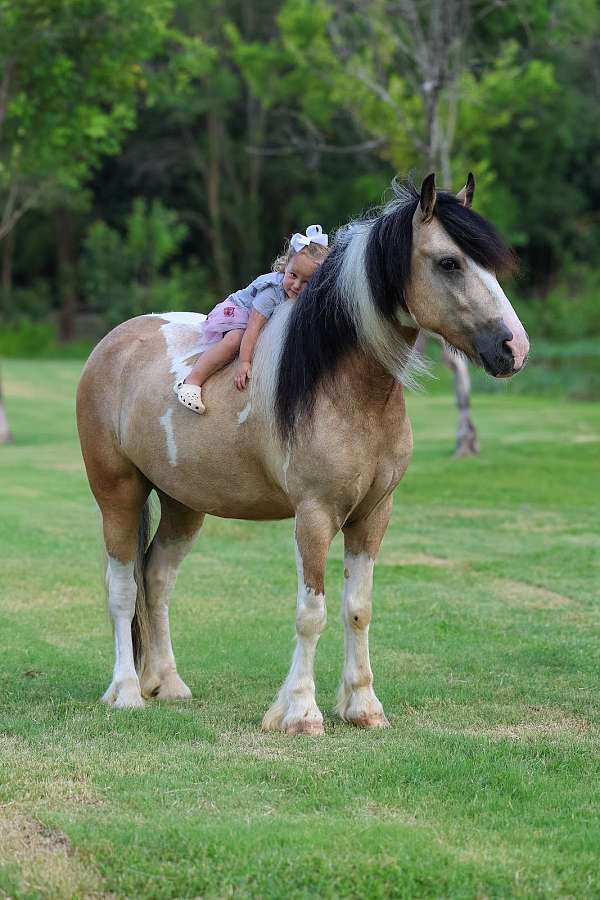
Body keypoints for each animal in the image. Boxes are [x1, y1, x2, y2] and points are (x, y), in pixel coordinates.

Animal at [76, 173, 529, 735]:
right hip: (117, 493)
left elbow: (358, 608)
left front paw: (363, 707)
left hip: (184, 503)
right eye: (449, 262)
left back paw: (168, 684)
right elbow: (311, 614)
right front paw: (299, 712)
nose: (514, 348)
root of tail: (112, 344)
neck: (341, 386)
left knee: (156, 578)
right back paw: (126, 692)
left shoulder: (373, 516)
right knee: (121, 587)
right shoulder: (314, 515)